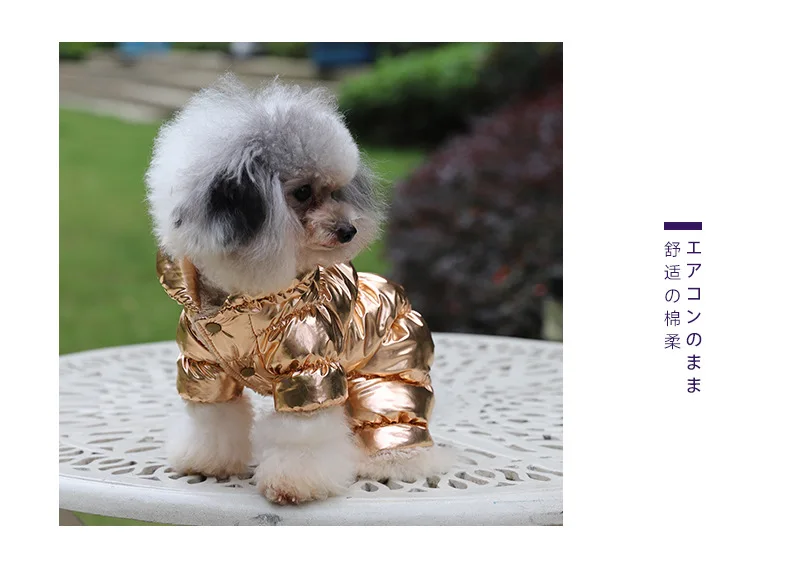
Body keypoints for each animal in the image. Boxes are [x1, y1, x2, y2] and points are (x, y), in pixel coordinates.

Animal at [145, 74, 451, 504]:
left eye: (338, 191)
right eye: (303, 192)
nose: (349, 230)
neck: (244, 297)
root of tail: (400, 296)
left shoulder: (308, 370)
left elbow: (302, 437)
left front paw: (294, 483)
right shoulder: (204, 369)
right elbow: (212, 420)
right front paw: (208, 461)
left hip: (390, 368)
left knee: (394, 419)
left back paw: (392, 461)